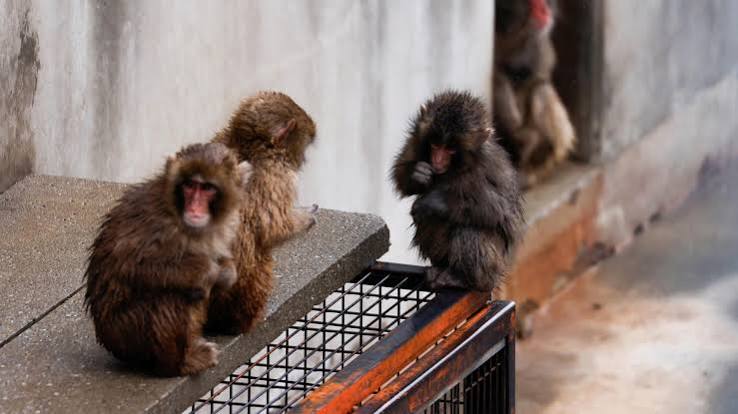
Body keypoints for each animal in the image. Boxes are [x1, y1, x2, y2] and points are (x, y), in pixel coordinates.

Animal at [84, 142, 252, 376]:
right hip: (128, 335)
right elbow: (131, 266)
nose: (194, 207)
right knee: (171, 296)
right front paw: (208, 271)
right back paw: (180, 365)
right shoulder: (159, 223)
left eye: (207, 188)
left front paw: (226, 273)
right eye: (190, 185)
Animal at [391, 90, 524, 292]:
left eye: (450, 149)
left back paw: (462, 278)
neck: (455, 167)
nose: (437, 160)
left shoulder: (489, 164)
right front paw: (418, 174)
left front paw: (434, 203)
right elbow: (400, 175)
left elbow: (499, 210)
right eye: (435, 145)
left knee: (468, 230)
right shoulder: (416, 141)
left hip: (492, 266)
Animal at [493, 0, 575, 189]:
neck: (517, 36)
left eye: (545, 2)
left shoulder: (540, 45)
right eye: (534, 3)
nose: (546, 11)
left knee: (541, 90)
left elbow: (538, 79)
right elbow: (498, 74)